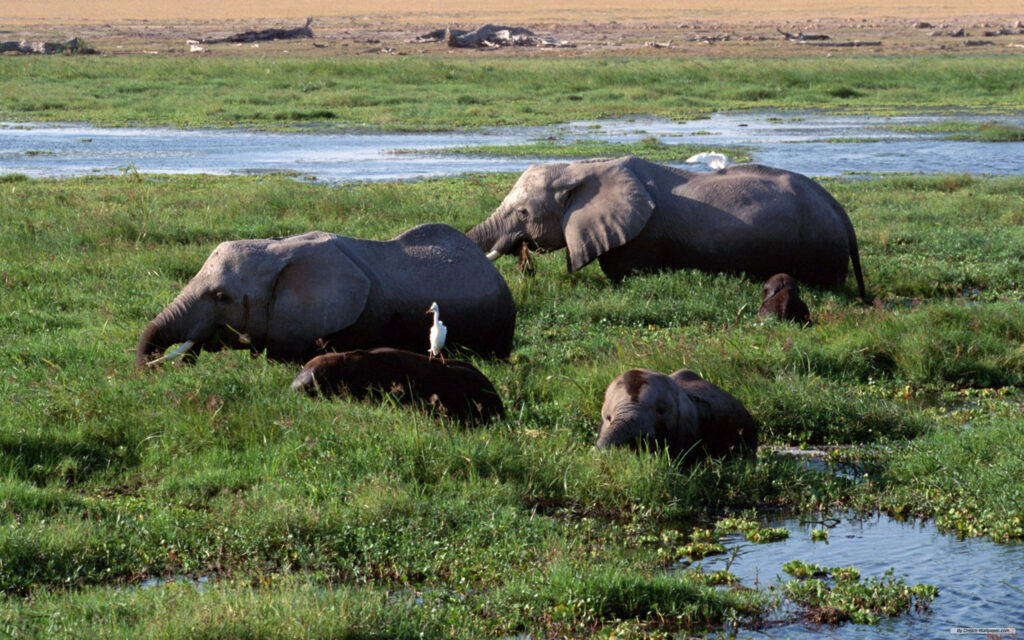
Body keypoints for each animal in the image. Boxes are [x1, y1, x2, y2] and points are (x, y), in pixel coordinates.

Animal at [466, 156, 866, 296]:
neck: (581, 167)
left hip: (819, 248)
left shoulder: (639, 238)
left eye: (523, 213)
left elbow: (623, 275)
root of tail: (839, 209)